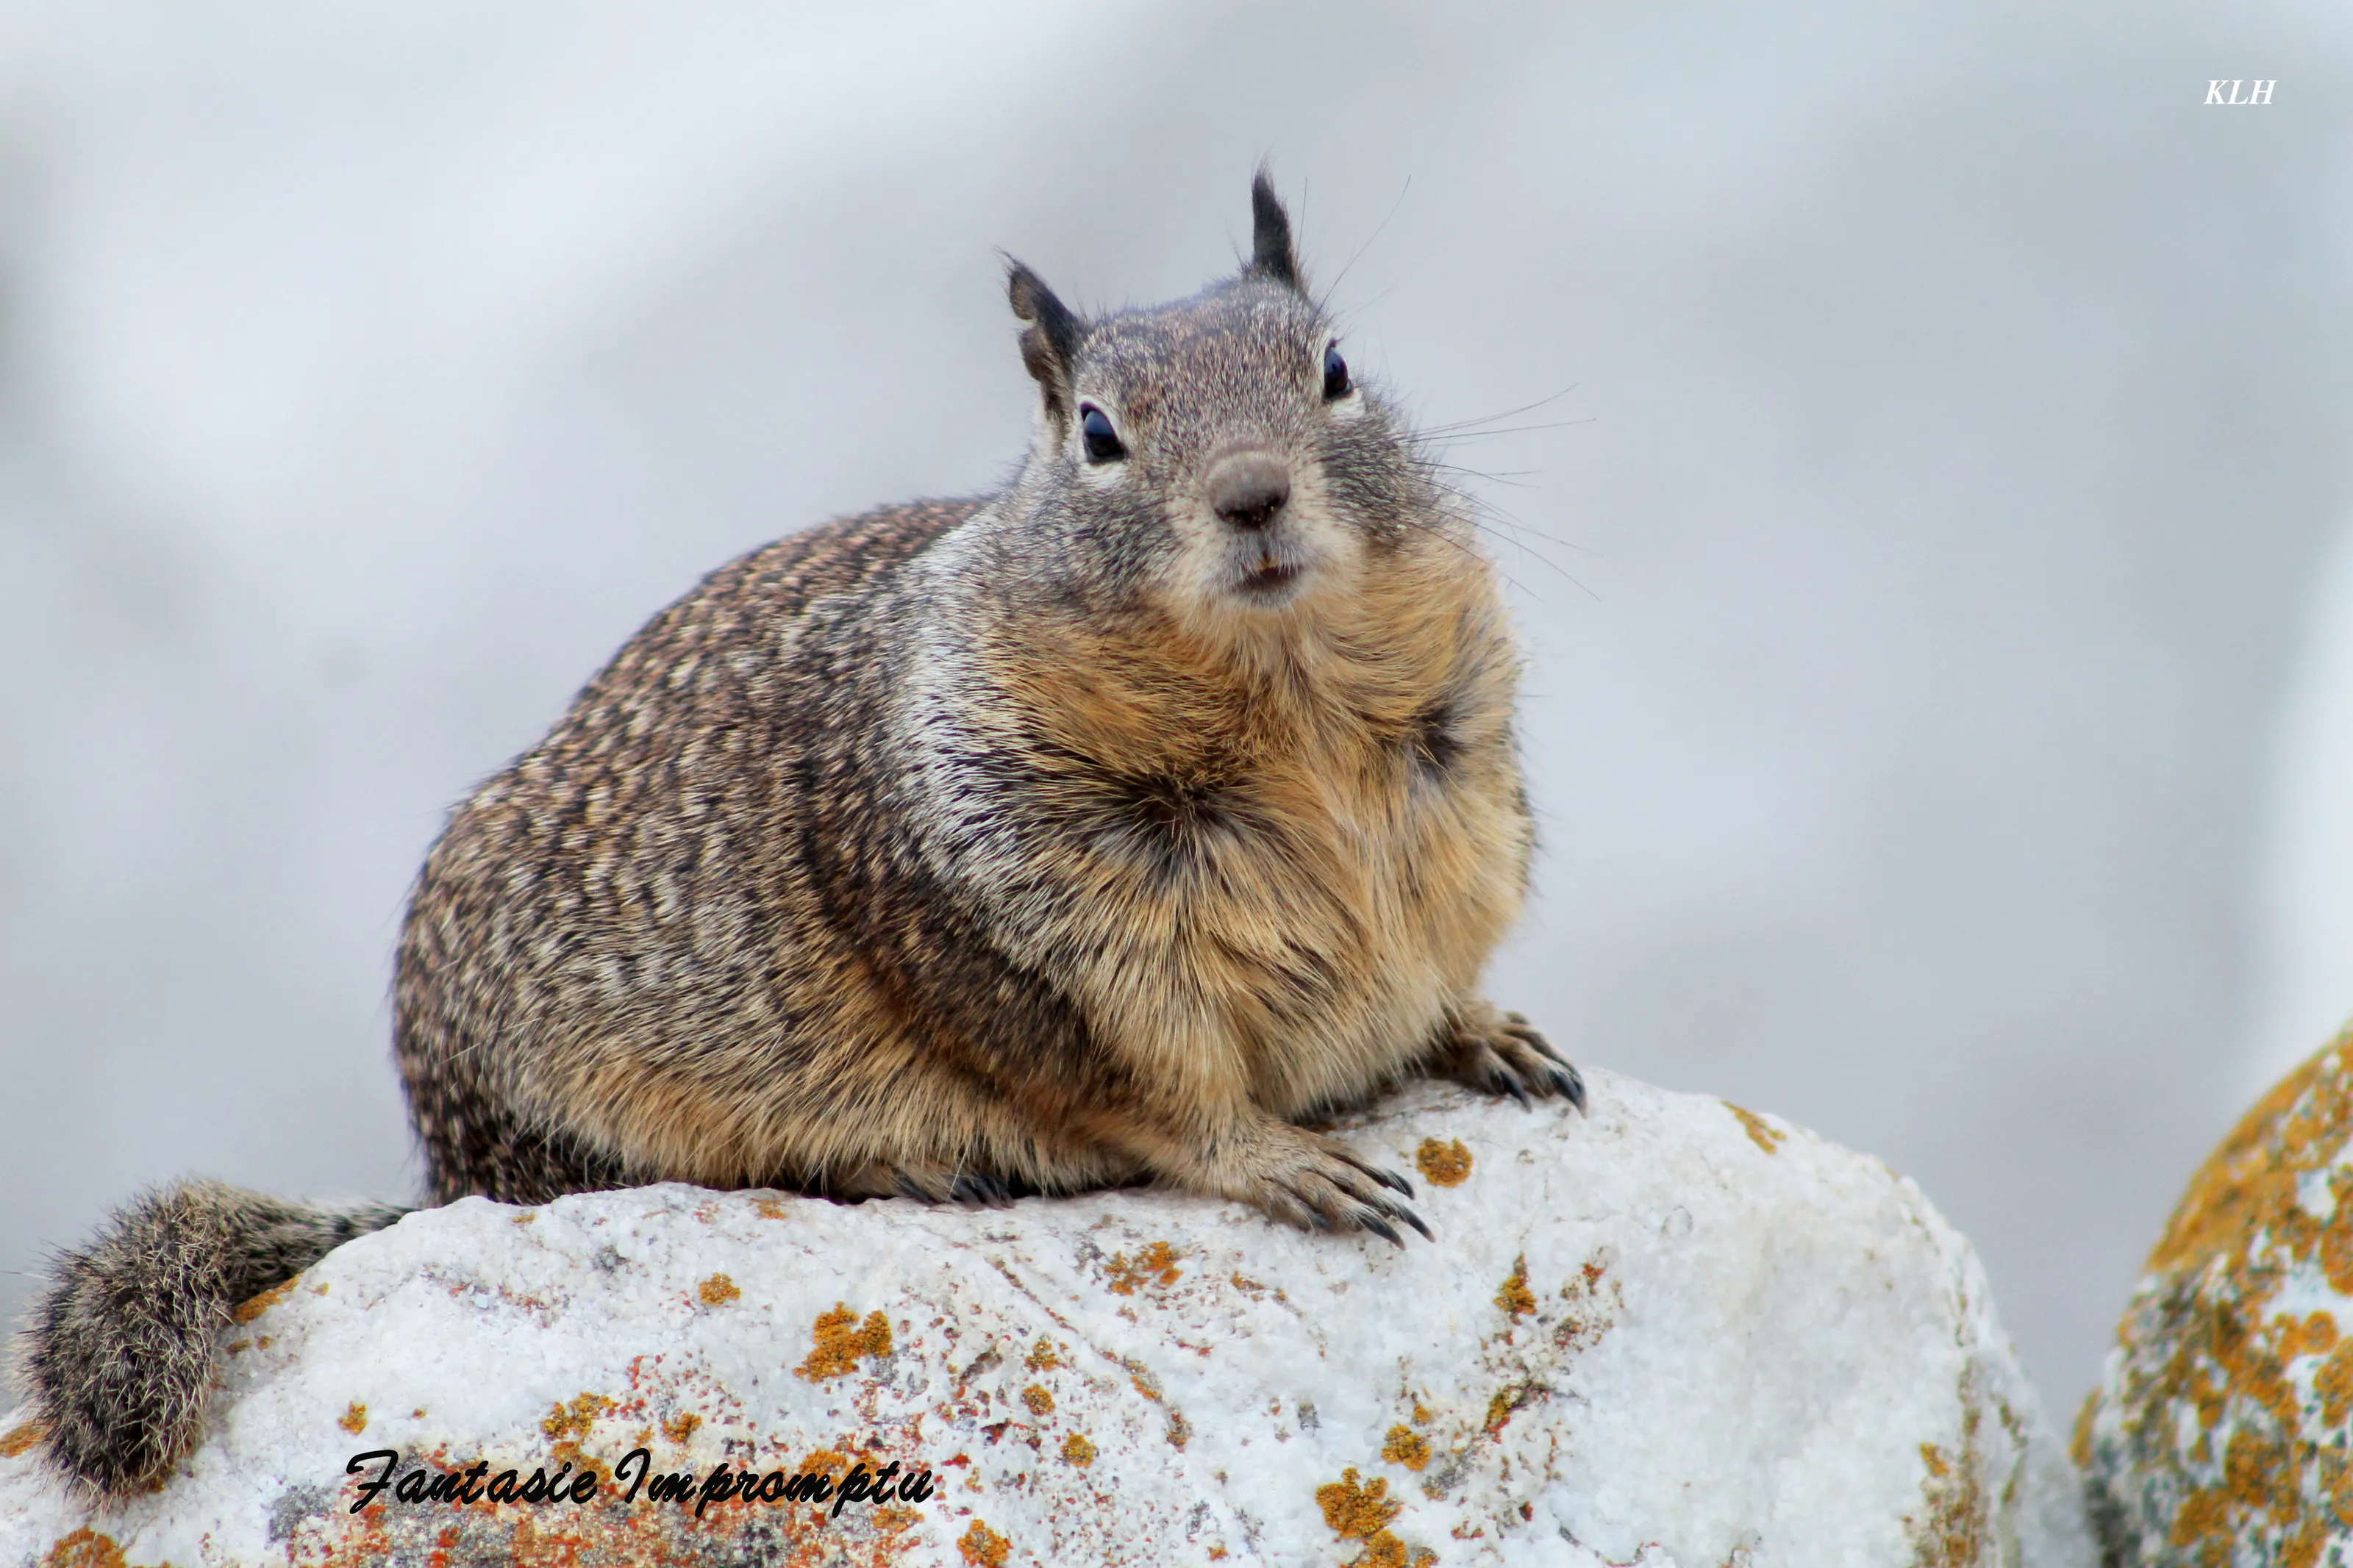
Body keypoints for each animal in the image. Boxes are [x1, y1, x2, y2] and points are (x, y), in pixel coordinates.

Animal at [11, 173, 1583, 1498]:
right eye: (1098, 434)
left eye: (1336, 370)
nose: (1253, 493)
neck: (1287, 706)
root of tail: (442, 1176)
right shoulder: (1034, 930)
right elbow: (1160, 1085)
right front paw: (1290, 1162)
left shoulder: (1458, 813)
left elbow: (1427, 983)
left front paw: (1487, 1032)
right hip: (586, 1119)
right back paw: (904, 1164)